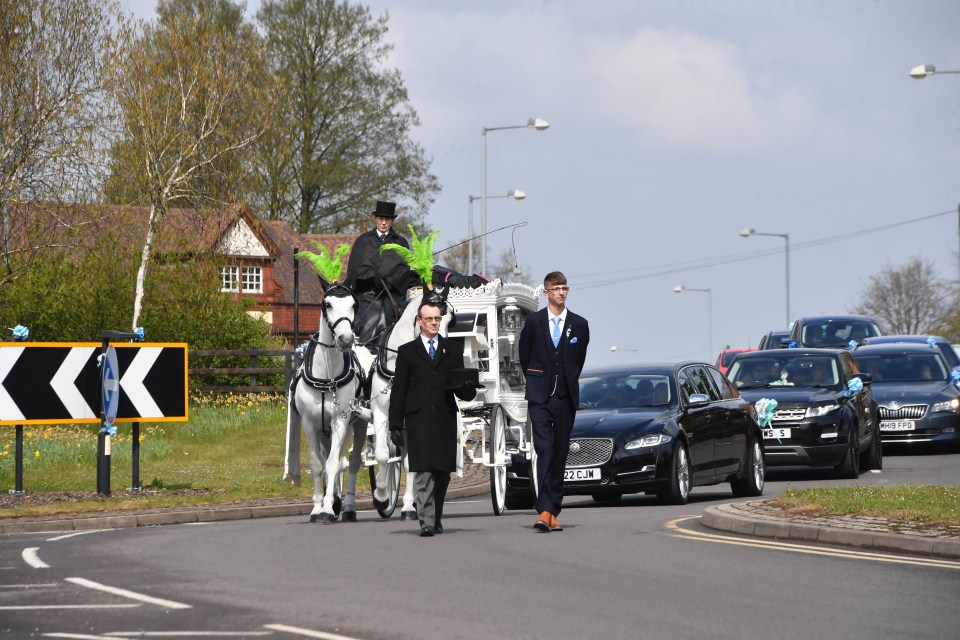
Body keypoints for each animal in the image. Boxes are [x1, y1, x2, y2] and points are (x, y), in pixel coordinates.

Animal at [284, 282, 368, 524]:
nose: (346, 340)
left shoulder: (340, 420)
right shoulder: (310, 424)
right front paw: (317, 508)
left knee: (351, 462)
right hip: (325, 432)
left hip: (359, 424)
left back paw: (347, 507)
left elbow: (331, 465)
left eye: (353, 304)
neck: (326, 375)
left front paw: (329, 509)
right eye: (327, 304)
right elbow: (317, 465)